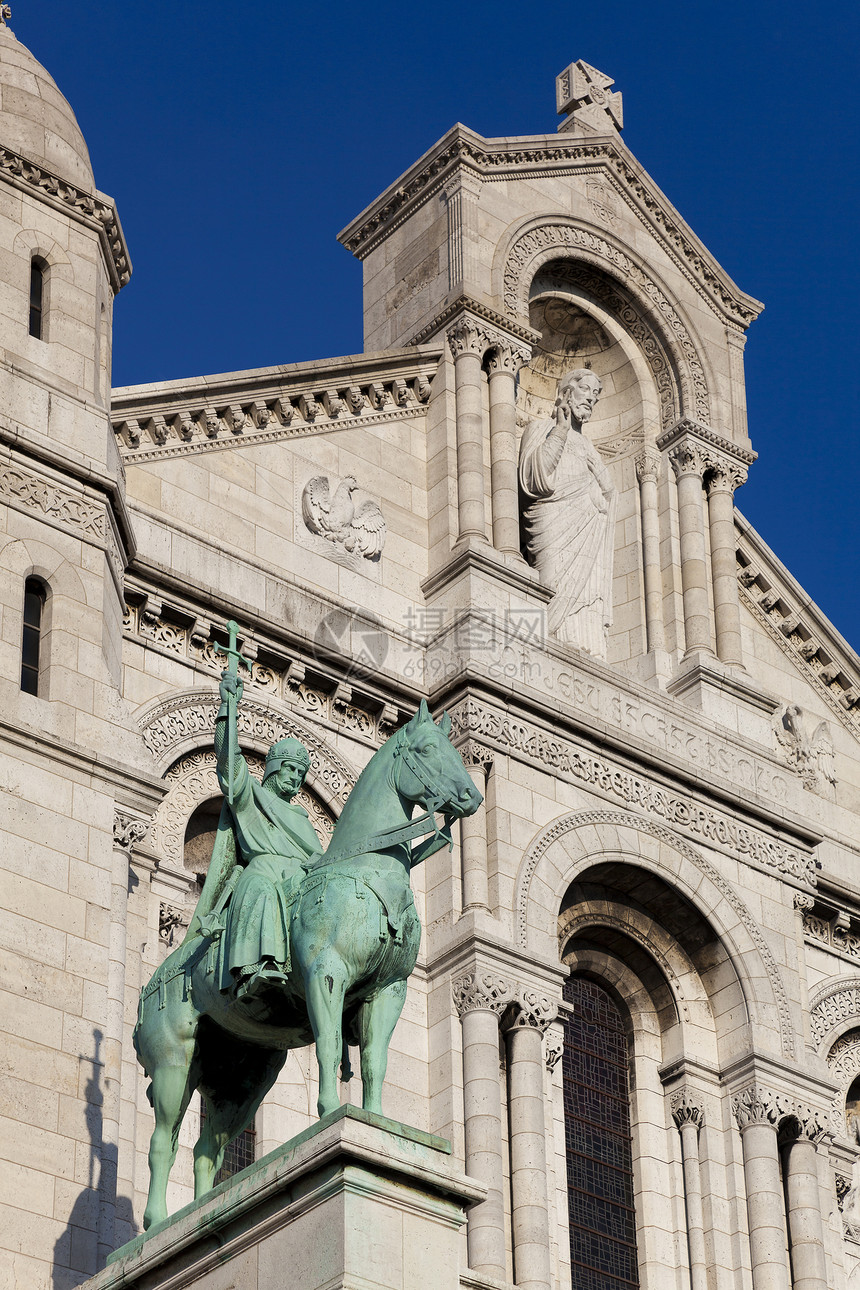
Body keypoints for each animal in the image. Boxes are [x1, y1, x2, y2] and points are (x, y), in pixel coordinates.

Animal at [135, 706, 484, 1228]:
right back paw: (157, 1223)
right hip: (174, 1063)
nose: (471, 797)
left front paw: (377, 1121)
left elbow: (375, 1060)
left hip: (244, 1076)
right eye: (426, 751)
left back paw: (198, 1211)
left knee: (205, 1149)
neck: (366, 869)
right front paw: (330, 1112)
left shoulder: (390, 990)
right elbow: (328, 1046)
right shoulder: (326, 975)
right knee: (161, 1143)